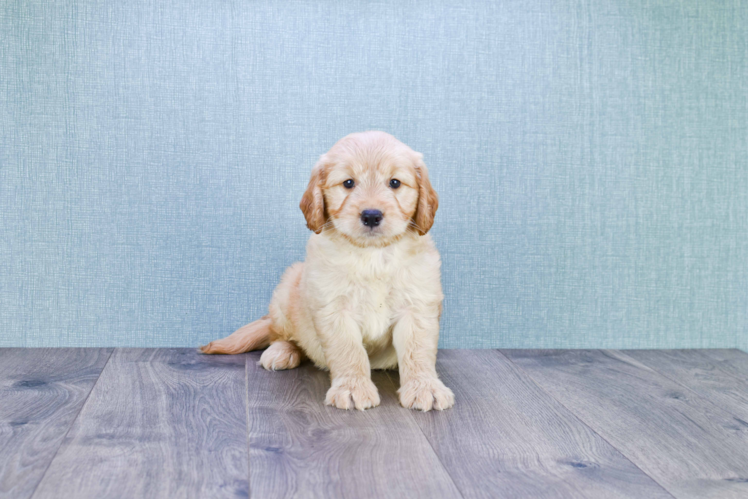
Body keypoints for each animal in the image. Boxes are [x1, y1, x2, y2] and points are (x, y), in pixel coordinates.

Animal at [202, 131, 452, 412]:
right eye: (348, 183)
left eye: (395, 183)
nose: (371, 215)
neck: (372, 255)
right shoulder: (333, 308)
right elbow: (348, 350)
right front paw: (353, 388)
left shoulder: (417, 305)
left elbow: (418, 351)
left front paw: (425, 387)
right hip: (286, 292)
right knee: (282, 335)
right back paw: (281, 352)